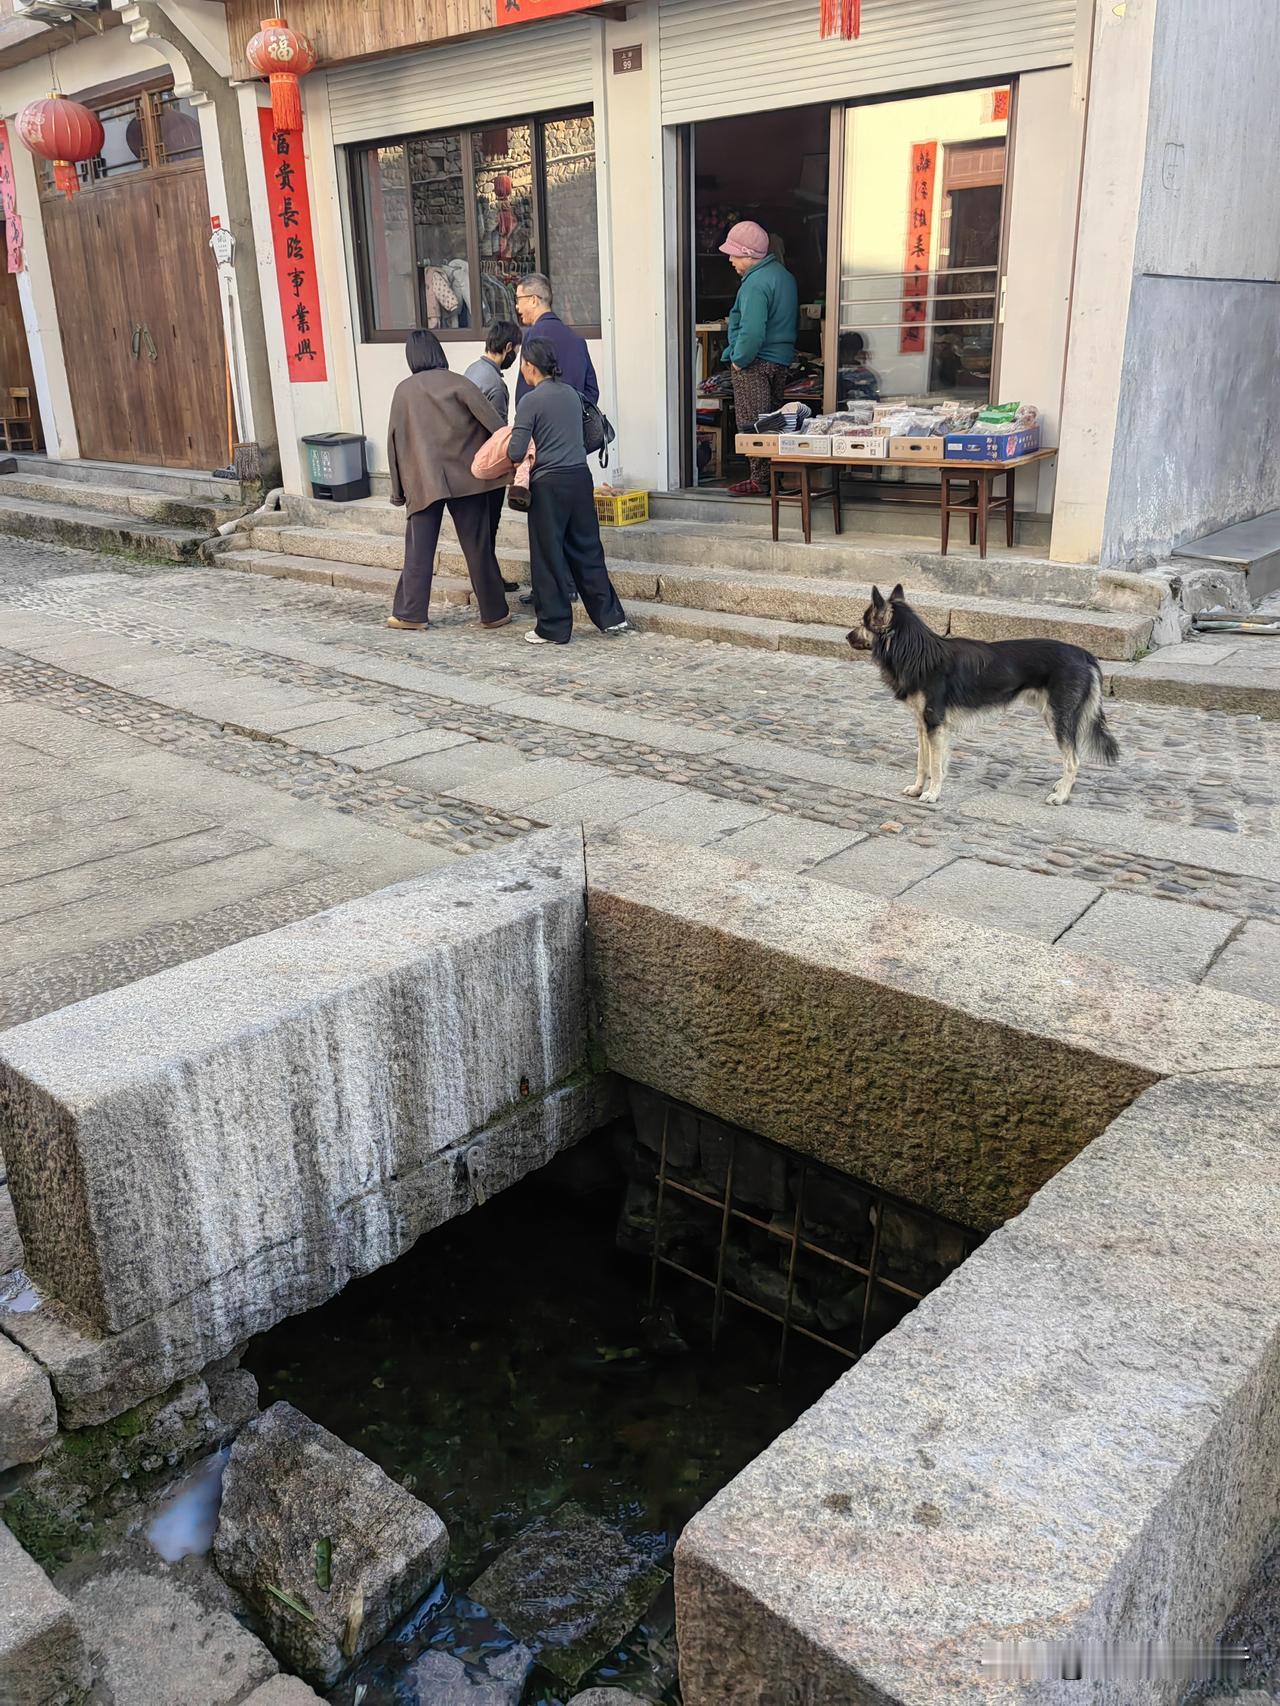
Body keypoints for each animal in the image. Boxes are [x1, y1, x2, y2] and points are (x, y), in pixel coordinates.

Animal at [847, 584, 1119, 806]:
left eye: (862, 623)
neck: (917, 653)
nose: (847, 636)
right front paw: (917, 789)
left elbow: (935, 764)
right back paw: (1062, 786)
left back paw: (1061, 796)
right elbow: (923, 763)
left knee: (1072, 760)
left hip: (1058, 718)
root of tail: (1085, 655)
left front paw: (932, 794)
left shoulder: (935, 726)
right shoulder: (924, 726)